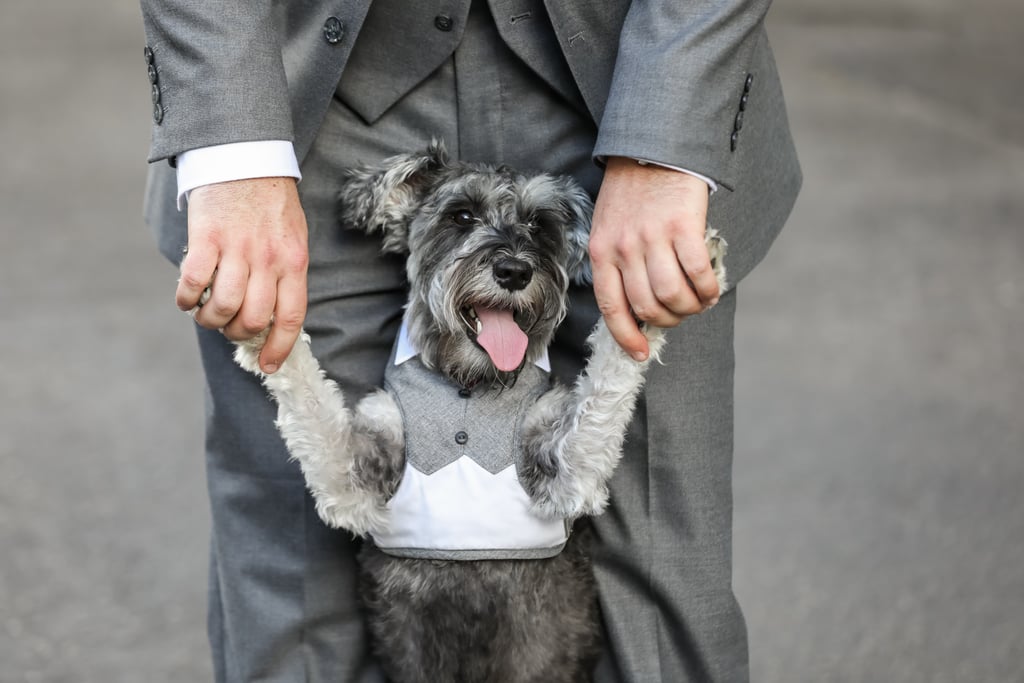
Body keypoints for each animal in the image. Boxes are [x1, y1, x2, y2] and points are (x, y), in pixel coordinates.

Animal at [233, 144, 729, 683]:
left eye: (538, 225)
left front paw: (645, 301)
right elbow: (313, 407)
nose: (513, 271)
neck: (468, 383)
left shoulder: (568, 468)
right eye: (461, 216)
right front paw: (262, 324)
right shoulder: (352, 475)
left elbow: (605, 387)